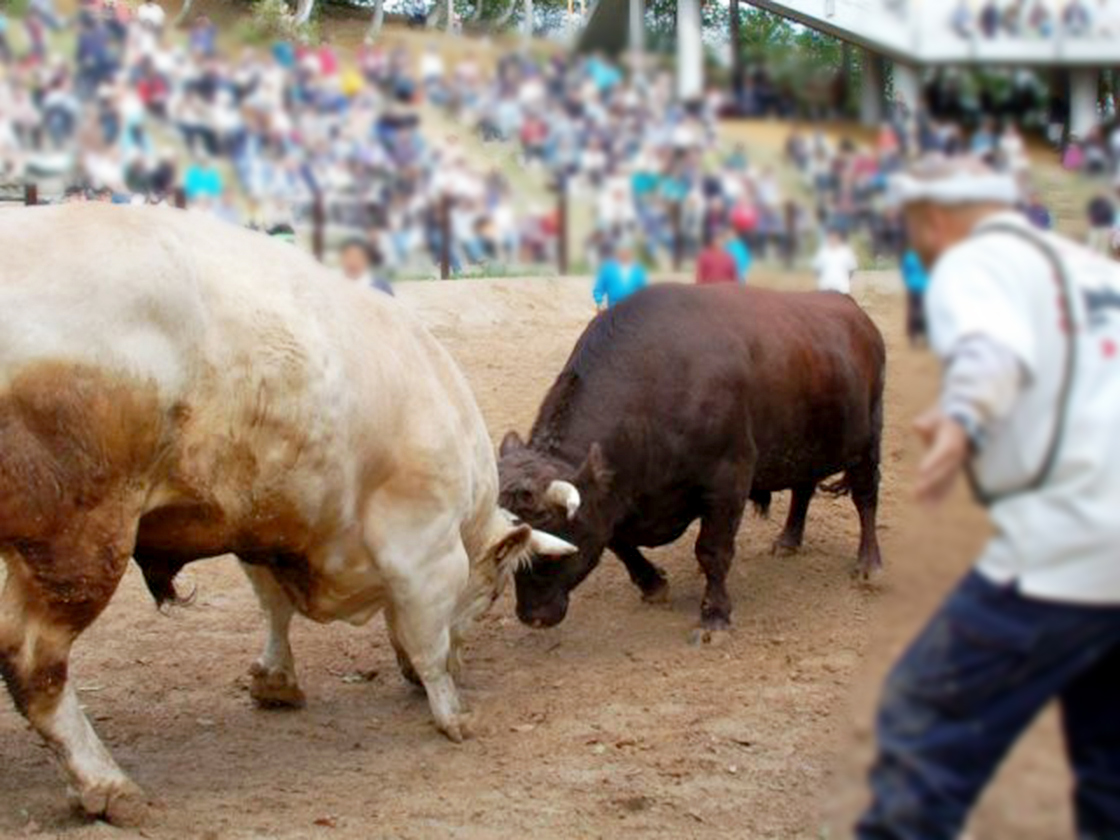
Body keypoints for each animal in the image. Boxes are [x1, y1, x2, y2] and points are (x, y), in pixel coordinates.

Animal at [0, 207, 577, 824]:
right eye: (492, 592)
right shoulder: (425, 551)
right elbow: (429, 642)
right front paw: (451, 711)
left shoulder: (263, 527)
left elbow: (274, 607)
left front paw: (276, 681)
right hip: (79, 540)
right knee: (33, 660)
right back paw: (105, 783)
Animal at [499, 286, 882, 640]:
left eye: (553, 553)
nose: (532, 616)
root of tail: (850, 307)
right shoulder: (611, 498)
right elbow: (617, 541)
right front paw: (652, 584)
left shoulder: (729, 480)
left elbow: (712, 551)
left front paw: (714, 616)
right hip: (806, 443)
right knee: (803, 488)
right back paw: (788, 541)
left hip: (867, 440)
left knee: (865, 498)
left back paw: (868, 565)